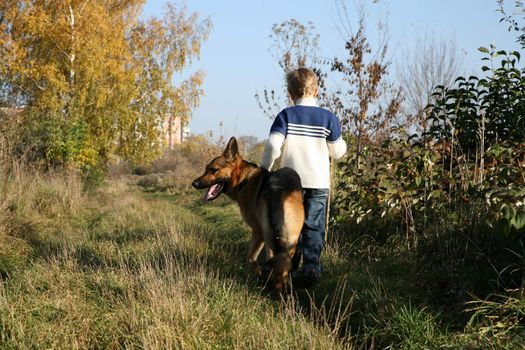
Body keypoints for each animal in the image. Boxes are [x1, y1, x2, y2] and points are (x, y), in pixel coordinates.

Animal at [191, 137, 302, 292]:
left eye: (213, 170)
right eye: (206, 169)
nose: (194, 183)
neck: (243, 180)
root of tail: (279, 187)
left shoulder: (258, 231)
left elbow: (250, 258)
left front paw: (259, 273)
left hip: (270, 236)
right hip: (289, 240)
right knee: (283, 263)